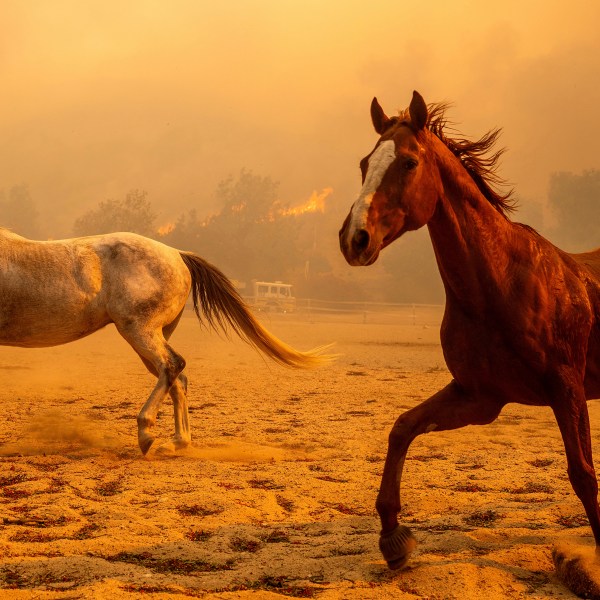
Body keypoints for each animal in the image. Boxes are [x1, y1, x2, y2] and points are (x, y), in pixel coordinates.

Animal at [0, 230, 332, 454]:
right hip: (151, 335)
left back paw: (147, 433)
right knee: (176, 377)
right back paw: (177, 442)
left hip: (139, 331)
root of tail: (177, 254)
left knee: (172, 366)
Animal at [340, 91, 600, 568]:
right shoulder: (479, 397)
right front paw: (394, 538)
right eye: (365, 164)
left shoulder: (567, 390)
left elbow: (582, 474)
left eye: (408, 162)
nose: (355, 239)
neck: (502, 282)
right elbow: (402, 427)